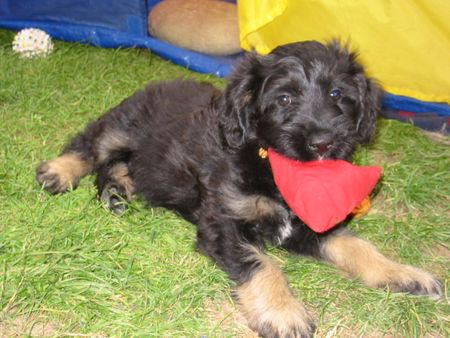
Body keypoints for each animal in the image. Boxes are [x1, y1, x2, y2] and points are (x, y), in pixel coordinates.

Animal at [37, 42, 442, 338]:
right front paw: (283, 312)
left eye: (337, 94)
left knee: (116, 164)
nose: (324, 143)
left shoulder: (308, 224)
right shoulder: (223, 222)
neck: (270, 164)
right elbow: (263, 265)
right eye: (284, 99)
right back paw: (58, 172)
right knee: (91, 144)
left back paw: (117, 190)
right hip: (124, 125)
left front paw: (402, 274)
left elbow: (357, 245)